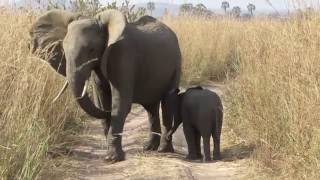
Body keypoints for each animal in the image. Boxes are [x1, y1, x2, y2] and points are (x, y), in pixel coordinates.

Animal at [28, 9, 181, 162]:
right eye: (63, 50)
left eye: (91, 49)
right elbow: (102, 100)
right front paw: (109, 153)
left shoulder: (123, 56)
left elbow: (120, 103)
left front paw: (112, 158)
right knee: (151, 108)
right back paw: (149, 148)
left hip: (176, 63)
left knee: (167, 103)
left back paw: (163, 150)